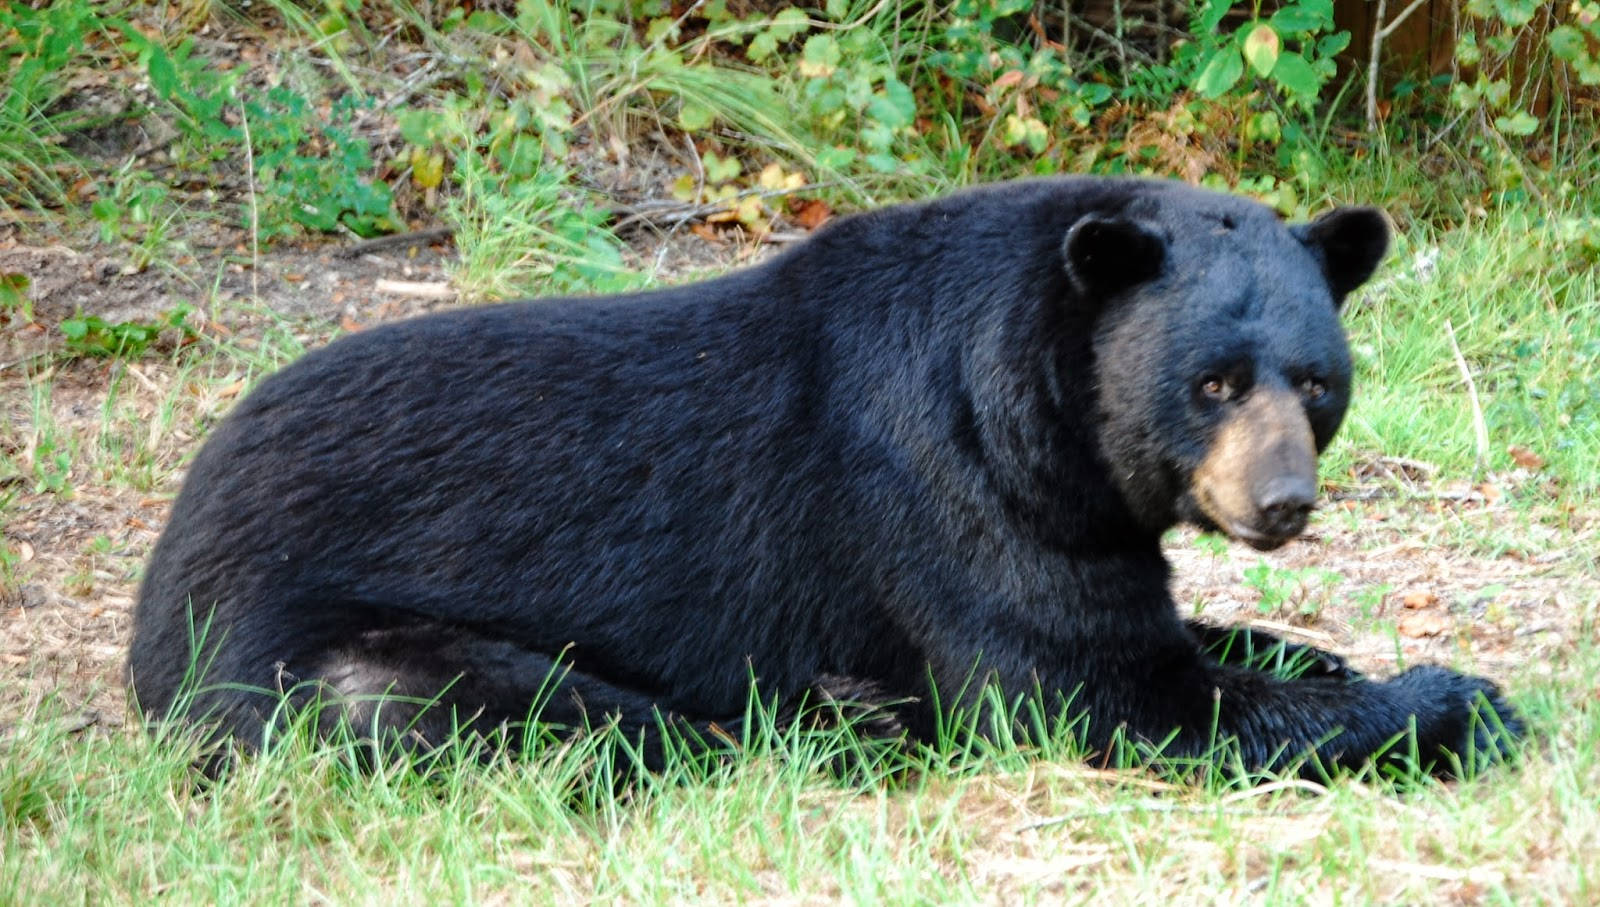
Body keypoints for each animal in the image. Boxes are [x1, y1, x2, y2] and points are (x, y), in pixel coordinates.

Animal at [127, 176, 1521, 779]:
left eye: (1317, 382)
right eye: (1214, 383)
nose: (1281, 503)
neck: (1040, 401)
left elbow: (1157, 633)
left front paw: (1316, 651)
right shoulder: (945, 484)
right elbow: (1097, 689)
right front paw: (1457, 700)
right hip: (312, 641)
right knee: (576, 723)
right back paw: (840, 723)